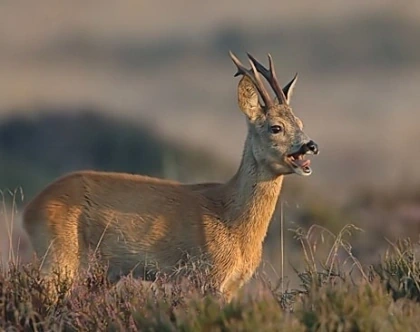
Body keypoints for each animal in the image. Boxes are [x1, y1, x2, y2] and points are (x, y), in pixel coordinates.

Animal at [22, 52, 318, 300]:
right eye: (275, 127)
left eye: (300, 122)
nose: (310, 146)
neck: (230, 218)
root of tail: (29, 210)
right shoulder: (208, 275)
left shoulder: (233, 285)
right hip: (59, 255)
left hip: (100, 273)